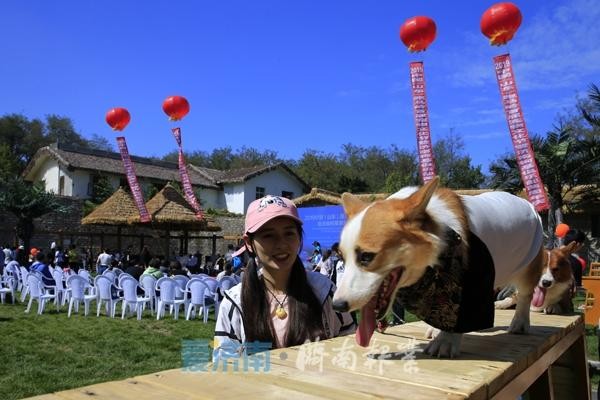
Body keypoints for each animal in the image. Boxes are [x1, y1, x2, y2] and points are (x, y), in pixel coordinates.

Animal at [330, 177, 548, 358]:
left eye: (367, 257)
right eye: (341, 257)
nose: (337, 306)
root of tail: (525, 202)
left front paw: (446, 341)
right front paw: (438, 330)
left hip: (529, 265)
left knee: (525, 294)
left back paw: (520, 323)